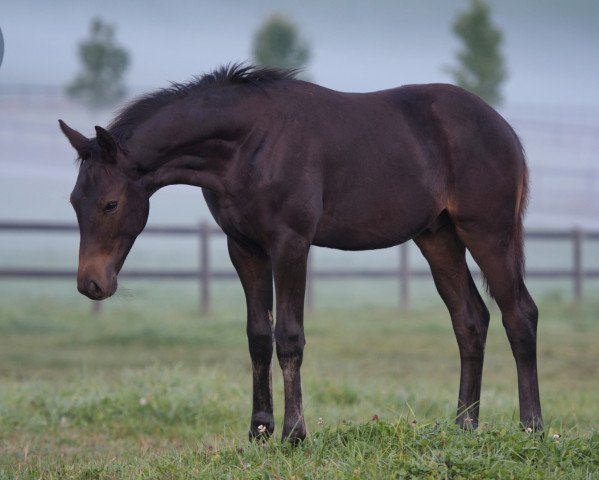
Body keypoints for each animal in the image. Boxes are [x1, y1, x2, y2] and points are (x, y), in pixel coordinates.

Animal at [59, 63, 544, 442]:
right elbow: (258, 335)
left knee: (519, 313)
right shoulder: (245, 248)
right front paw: (259, 429)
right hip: (437, 236)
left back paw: (532, 427)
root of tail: (500, 126)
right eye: (74, 201)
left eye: (110, 203)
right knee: (470, 320)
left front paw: (294, 432)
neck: (250, 143)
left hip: (488, 232)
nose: (91, 283)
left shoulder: (290, 244)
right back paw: (464, 427)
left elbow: (289, 336)